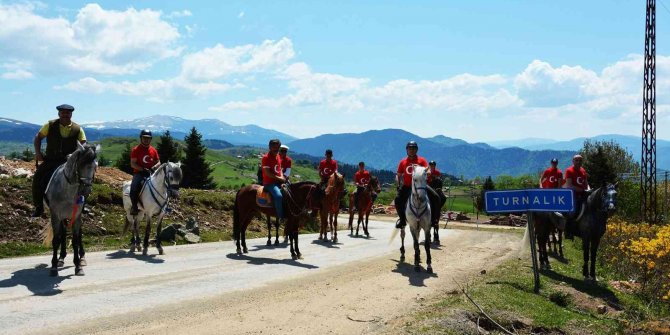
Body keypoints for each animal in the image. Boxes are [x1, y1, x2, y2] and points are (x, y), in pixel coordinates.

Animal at [41, 143, 98, 276]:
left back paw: (82, 258)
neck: (67, 191)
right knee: (62, 233)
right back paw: (61, 258)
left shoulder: (76, 216)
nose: (86, 190)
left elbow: (76, 239)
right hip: (62, 217)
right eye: (81, 164)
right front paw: (54, 266)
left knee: (78, 234)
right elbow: (56, 240)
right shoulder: (56, 216)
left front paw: (78, 266)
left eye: (95, 167)